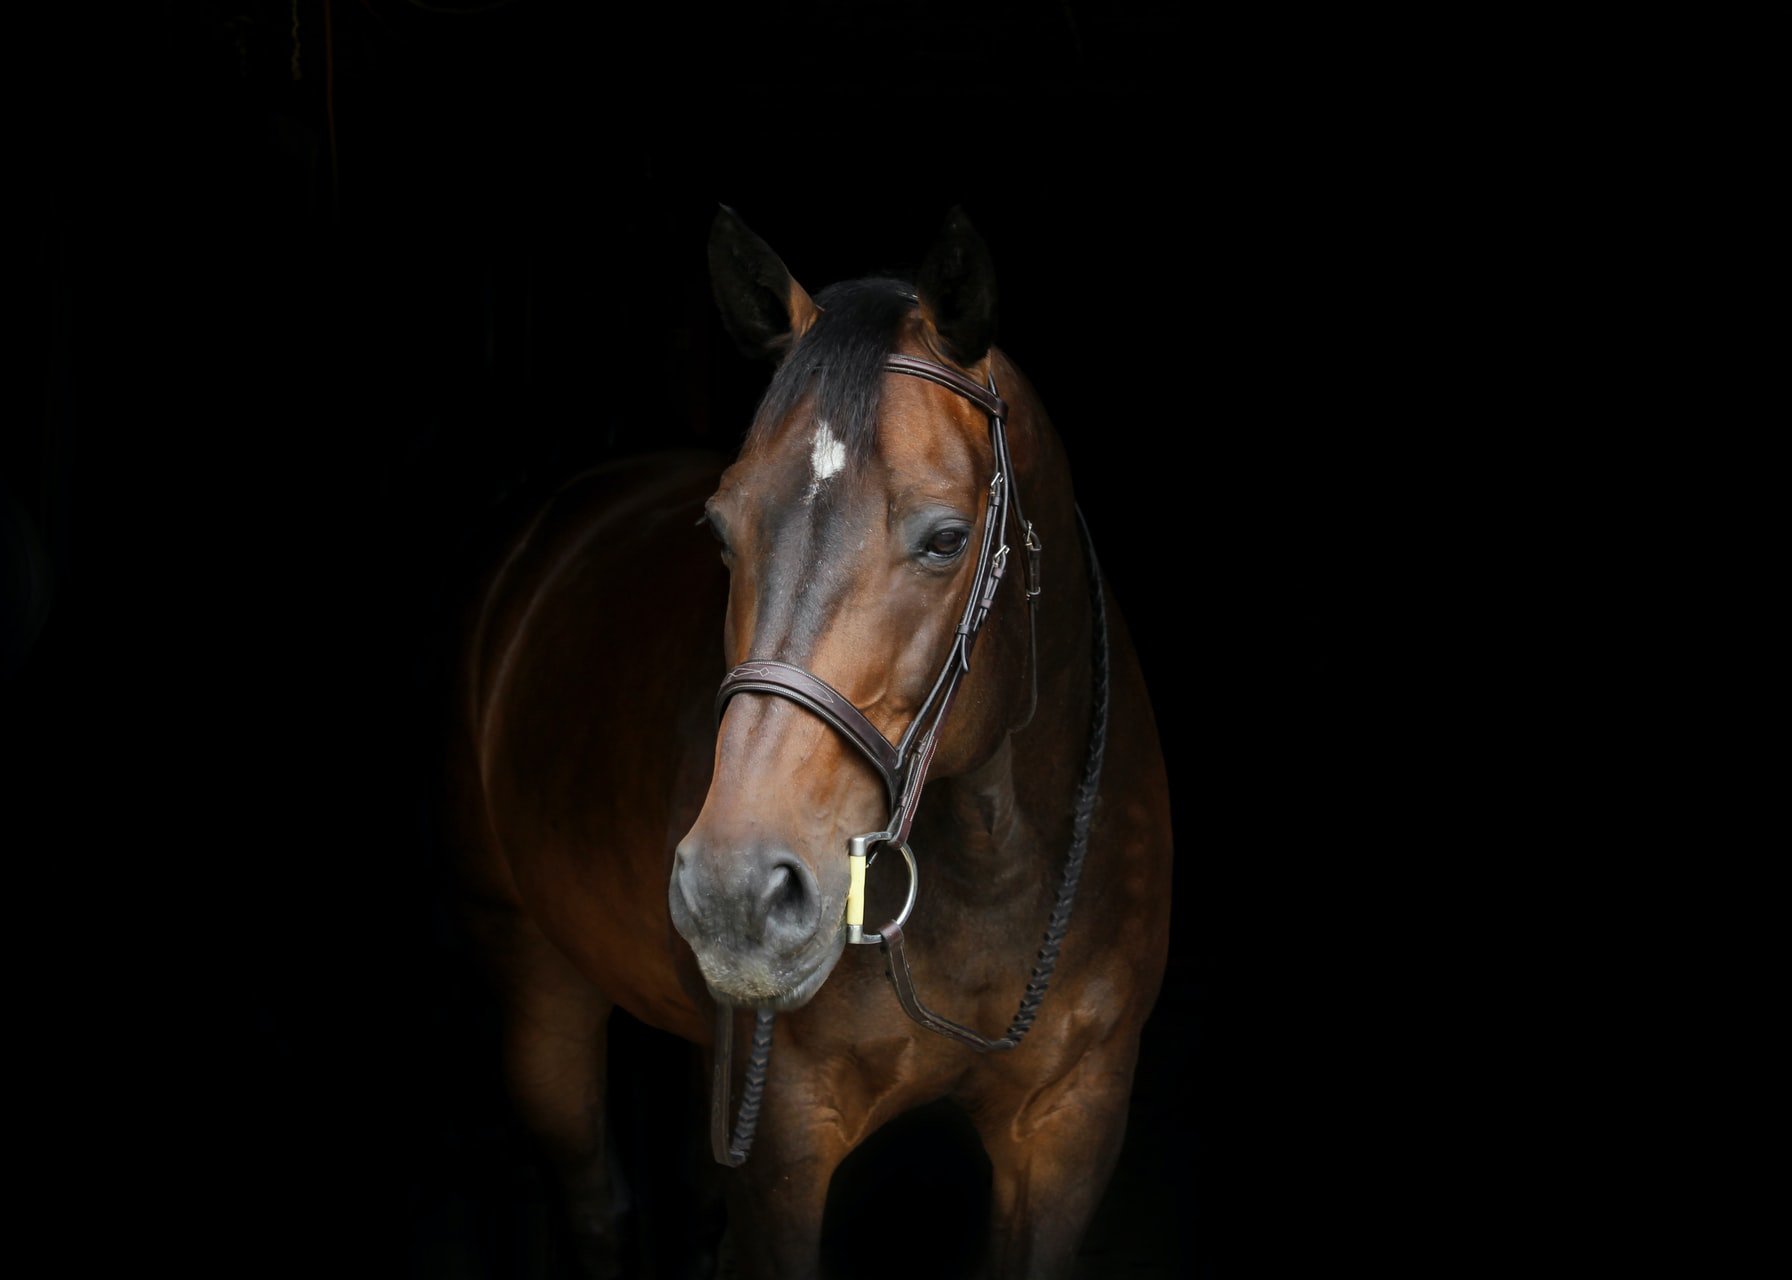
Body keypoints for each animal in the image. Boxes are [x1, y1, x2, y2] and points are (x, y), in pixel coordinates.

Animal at [445, 205, 1174, 1278]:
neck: (993, 866)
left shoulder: (1071, 1127)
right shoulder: (785, 1146)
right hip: (535, 975)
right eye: (719, 530)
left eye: (947, 539)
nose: (734, 892)